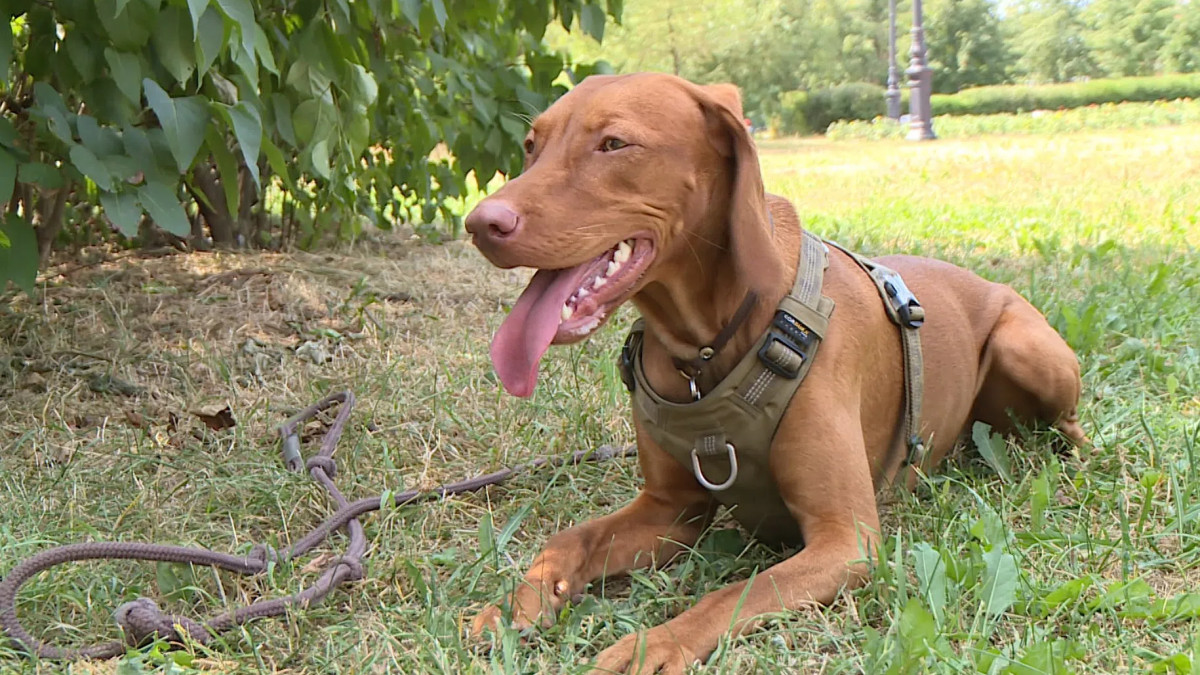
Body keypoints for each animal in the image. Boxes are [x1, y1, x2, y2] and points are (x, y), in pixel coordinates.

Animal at [463, 70, 1084, 667]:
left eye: (614, 144)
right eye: (530, 146)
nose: (479, 224)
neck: (709, 344)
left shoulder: (844, 541)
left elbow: (731, 594)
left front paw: (651, 647)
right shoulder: (671, 511)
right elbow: (568, 540)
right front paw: (519, 601)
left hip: (1028, 350)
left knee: (1068, 426)